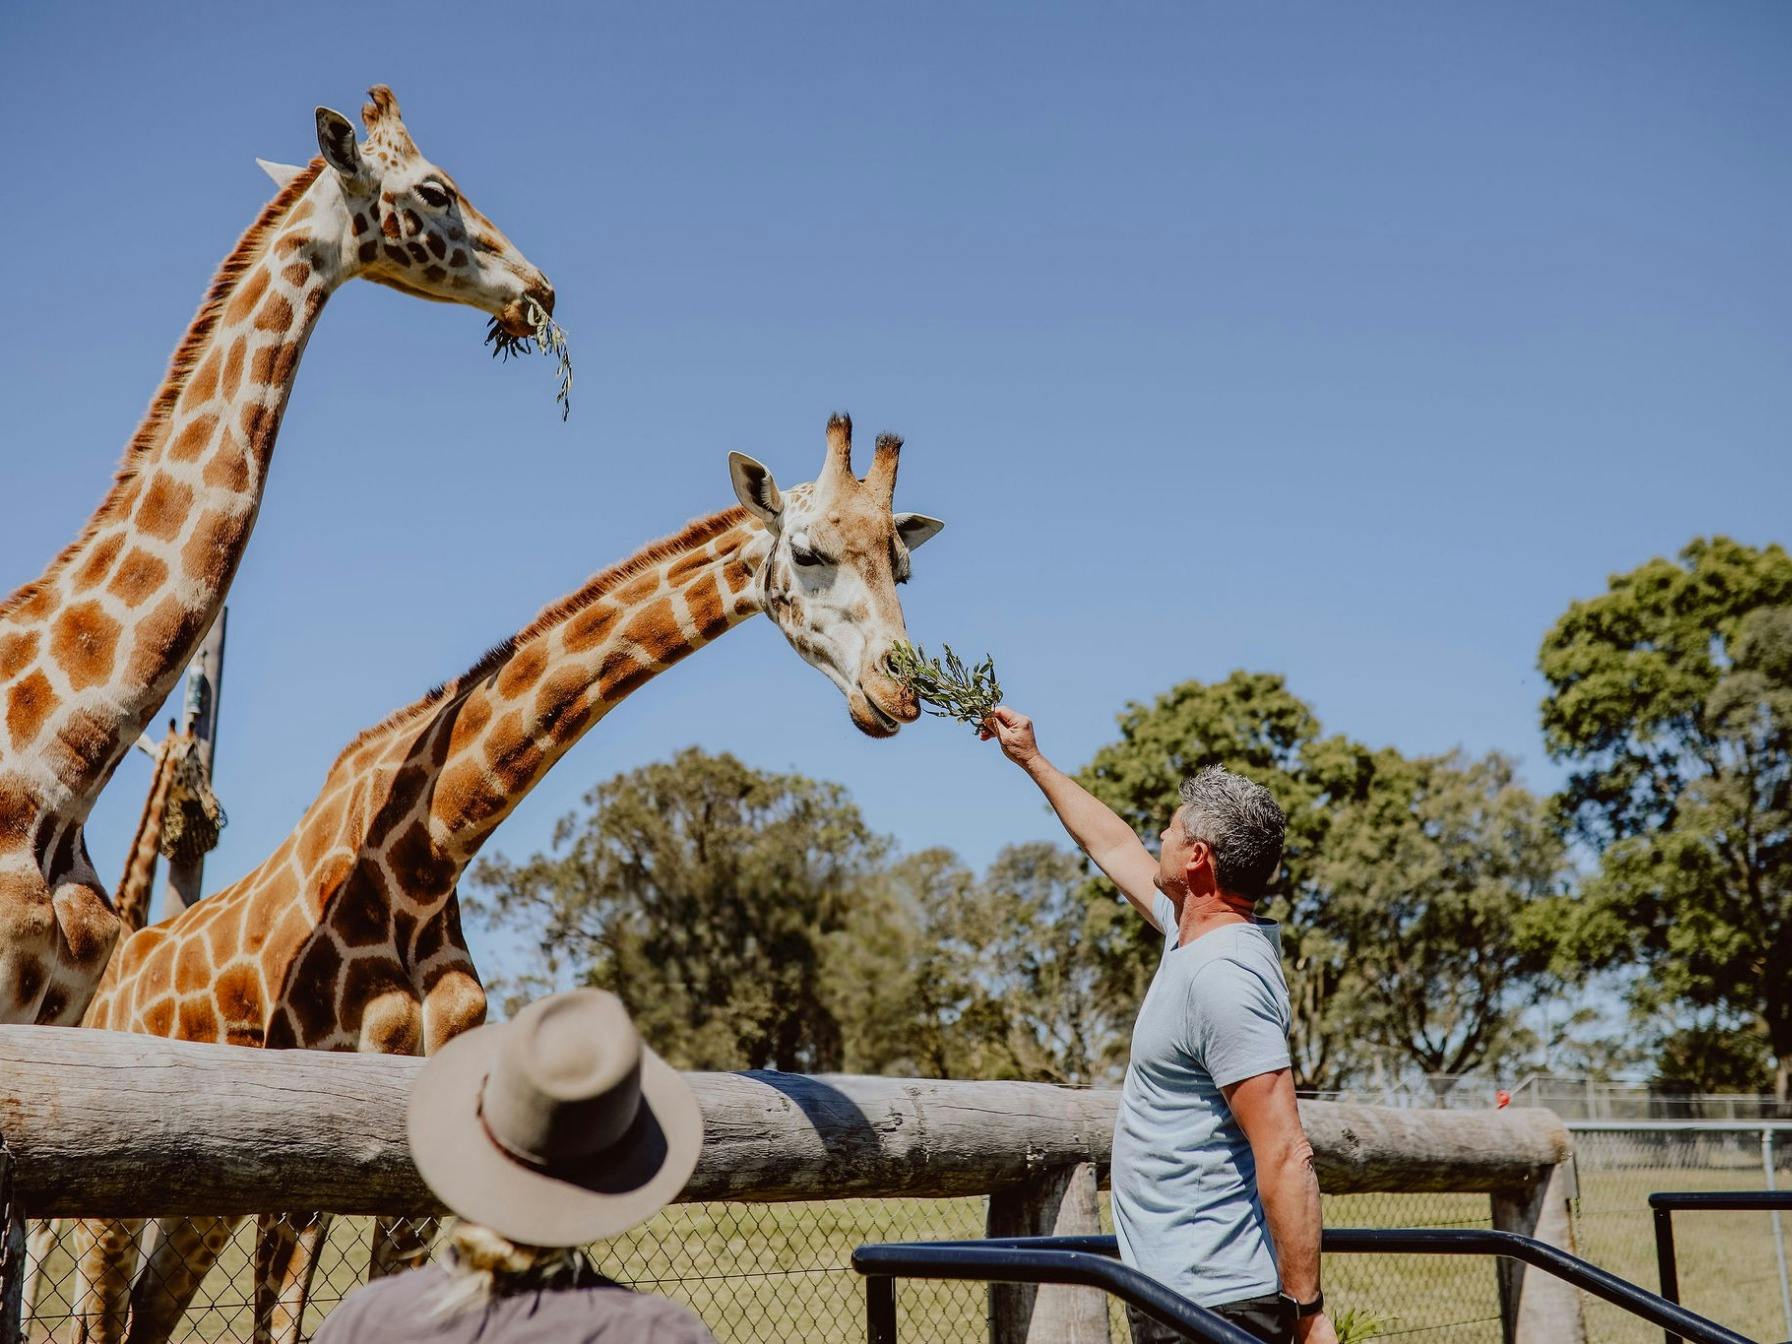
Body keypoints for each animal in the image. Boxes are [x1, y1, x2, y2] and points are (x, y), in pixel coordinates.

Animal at [76, 415, 945, 1343]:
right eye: (810, 550)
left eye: (904, 567)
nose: (901, 692)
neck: (425, 864)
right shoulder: (307, 1150)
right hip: (118, 1198)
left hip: (200, 1203)